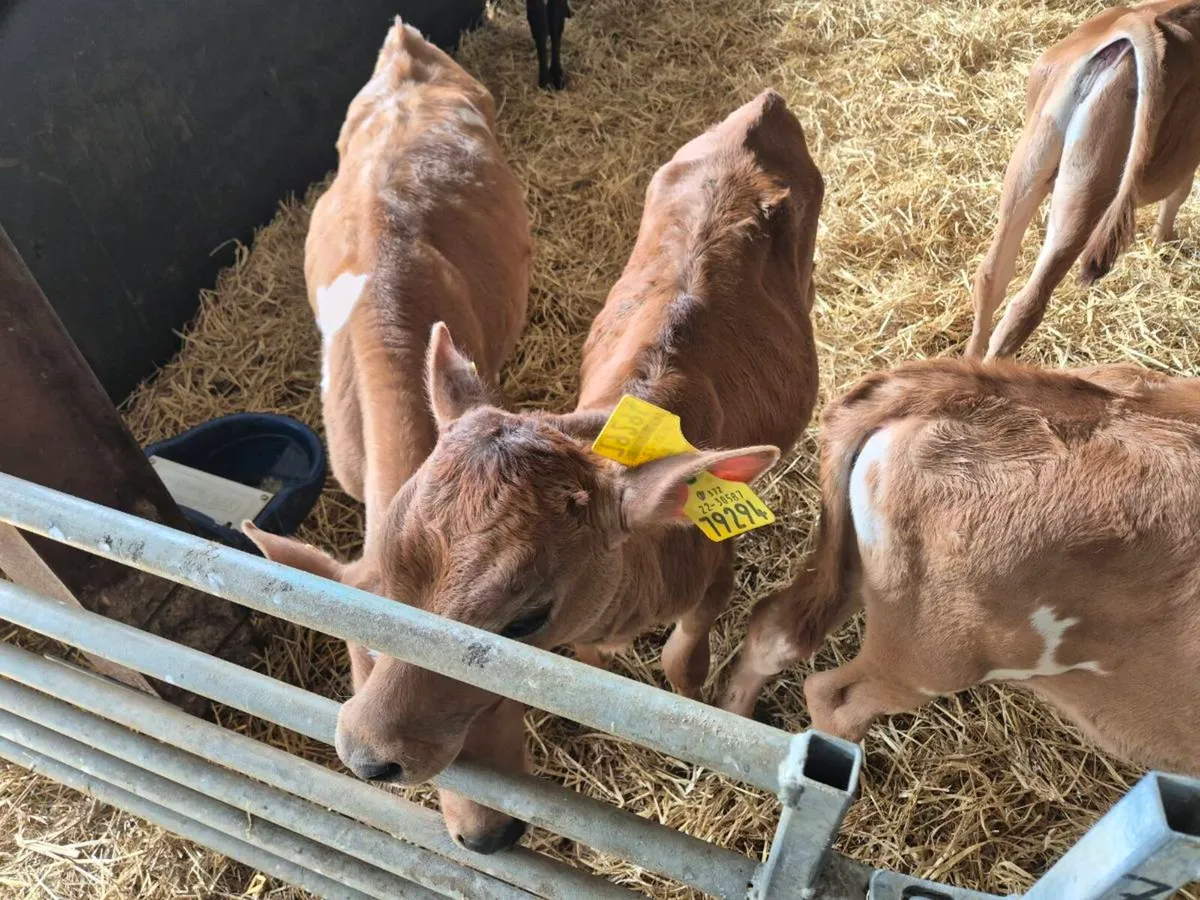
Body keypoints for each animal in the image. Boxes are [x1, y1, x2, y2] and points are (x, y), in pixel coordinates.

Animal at [721, 359, 1200, 776]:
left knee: (774, 629)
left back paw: (734, 717)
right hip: (929, 655)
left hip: (859, 572)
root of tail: (972, 391)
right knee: (832, 699)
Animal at [967, 0, 1200, 361]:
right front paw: (1164, 241)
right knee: (1025, 308)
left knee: (991, 276)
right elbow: (1180, 193)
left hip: (1029, 163)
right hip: (1089, 185)